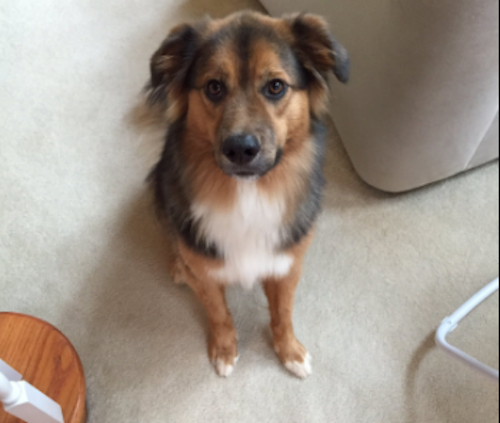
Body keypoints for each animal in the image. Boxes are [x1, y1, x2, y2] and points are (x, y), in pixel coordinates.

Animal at [145, 10, 348, 380]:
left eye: (276, 86)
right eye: (214, 87)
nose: (240, 149)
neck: (248, 194)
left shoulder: (287, 266)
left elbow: (283, 314)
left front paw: (289, 351)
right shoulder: (207, 276)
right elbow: (219, 313)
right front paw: (225, 349)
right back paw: (178, 265)